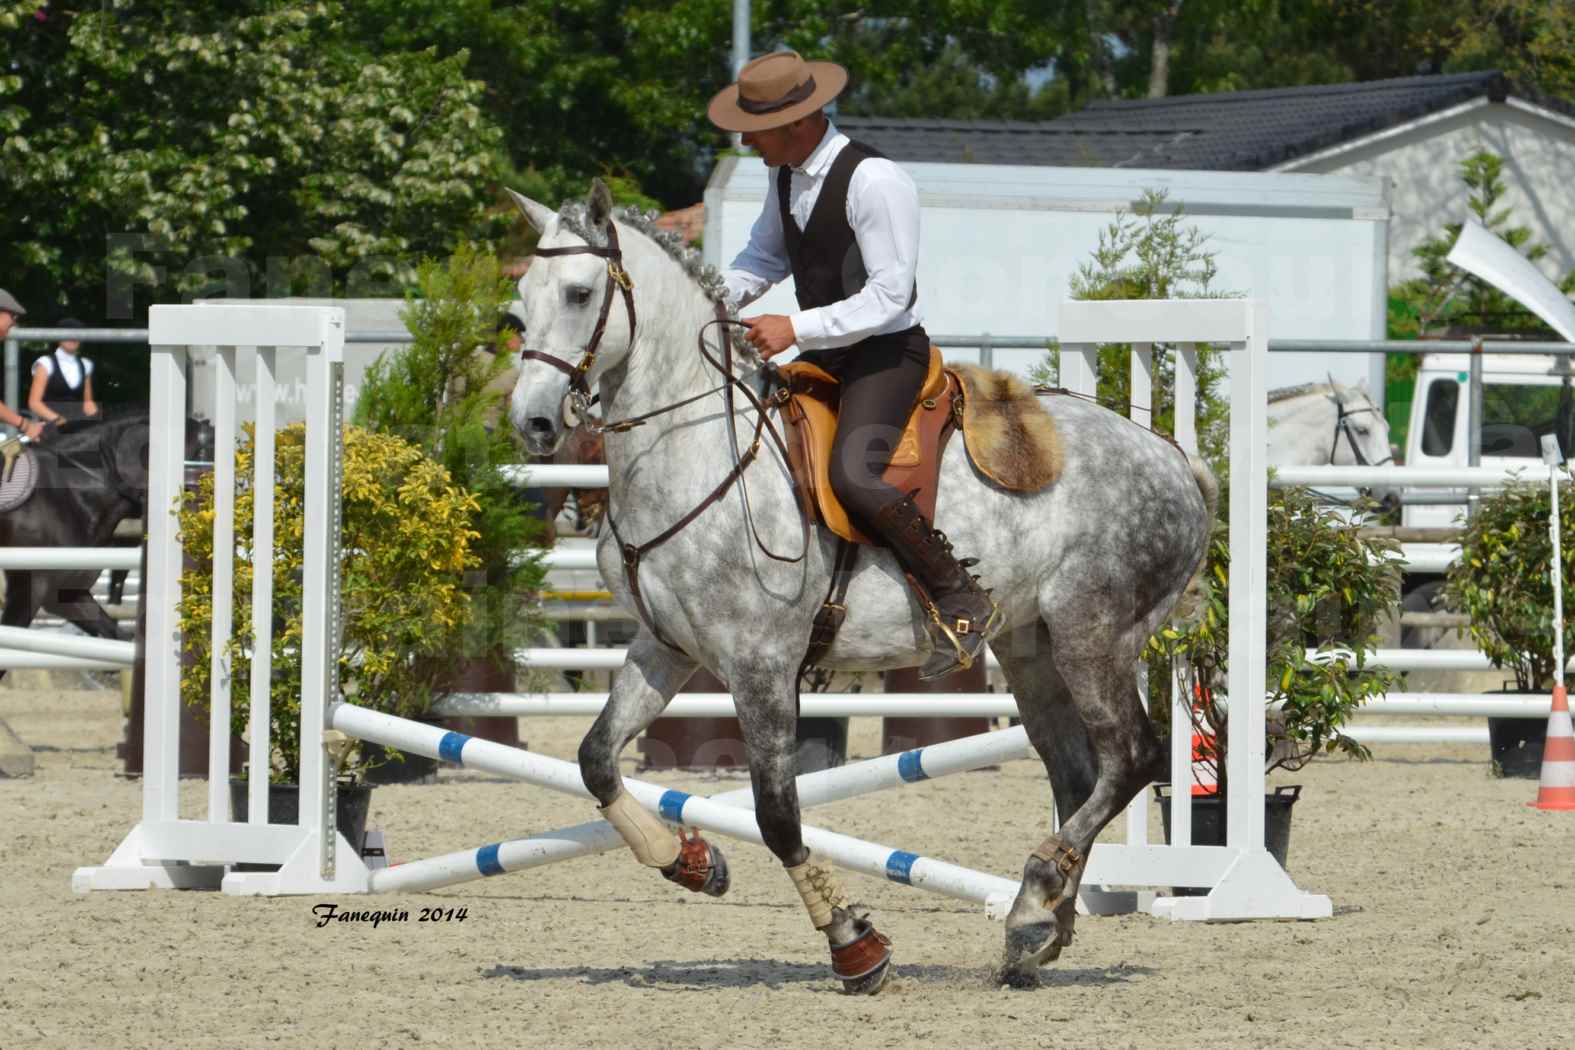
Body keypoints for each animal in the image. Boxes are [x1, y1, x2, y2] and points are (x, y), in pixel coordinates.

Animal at [510, 182, 1209, 994]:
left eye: (580, 292)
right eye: (521, 303)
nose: (531, 422)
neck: (696, 449)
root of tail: (1168, 453)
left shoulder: (761, 665)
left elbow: (777, 814)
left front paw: (855, 945)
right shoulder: (664, 649)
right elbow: (595, 757)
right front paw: (688, 860)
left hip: (1093, 636)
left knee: (1131, 757)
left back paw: (1037, 895)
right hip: (1032, 649)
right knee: (1076, 771)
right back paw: (1037, 925)